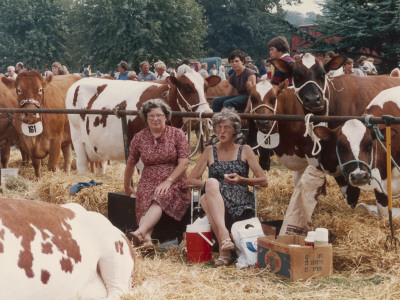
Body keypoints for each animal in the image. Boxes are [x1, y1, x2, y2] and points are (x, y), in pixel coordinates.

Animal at [67, 68, 220, 173]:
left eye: (206, 87)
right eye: (187, 87)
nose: (207, 112)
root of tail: (78, 82)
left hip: (98, 147)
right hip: (77, 138)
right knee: (81, 164)